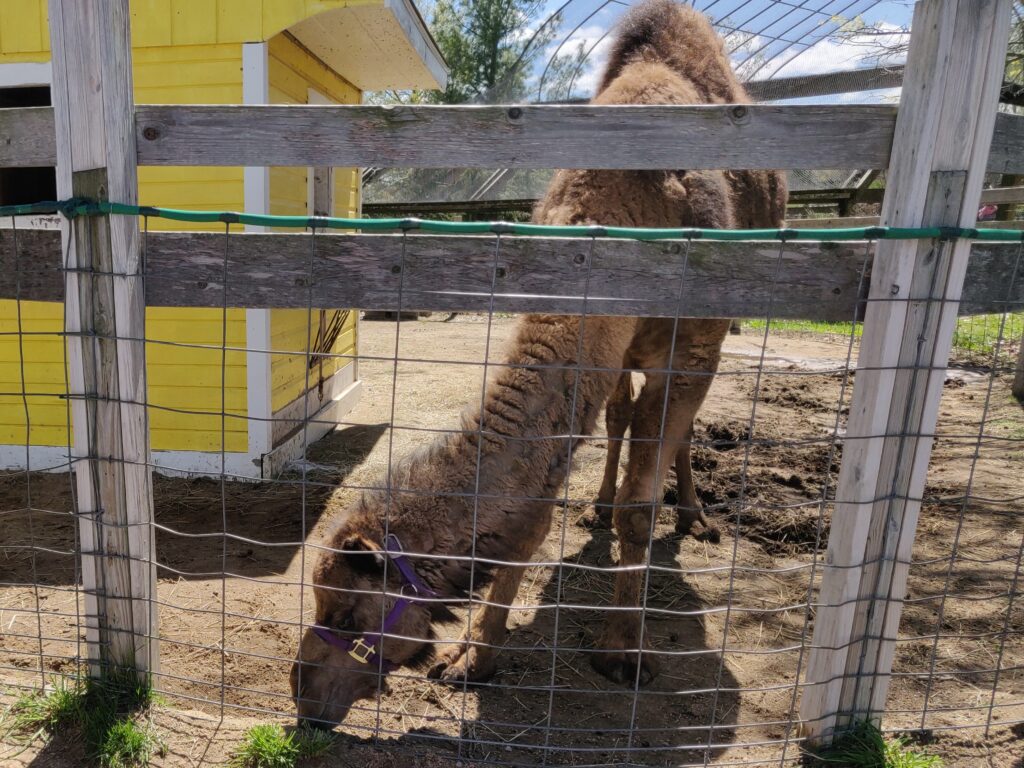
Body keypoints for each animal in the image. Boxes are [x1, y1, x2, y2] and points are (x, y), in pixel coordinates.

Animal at [292, 0, 786, 729]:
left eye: (349, 613)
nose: (301, 690)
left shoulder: (692, 351)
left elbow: (642, 503)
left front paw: (622, 651)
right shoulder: (598, 358)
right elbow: (534, 516)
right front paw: (473, 657)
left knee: (674, 436)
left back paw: (693, 516)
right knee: (621, 420)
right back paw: (600, 508)